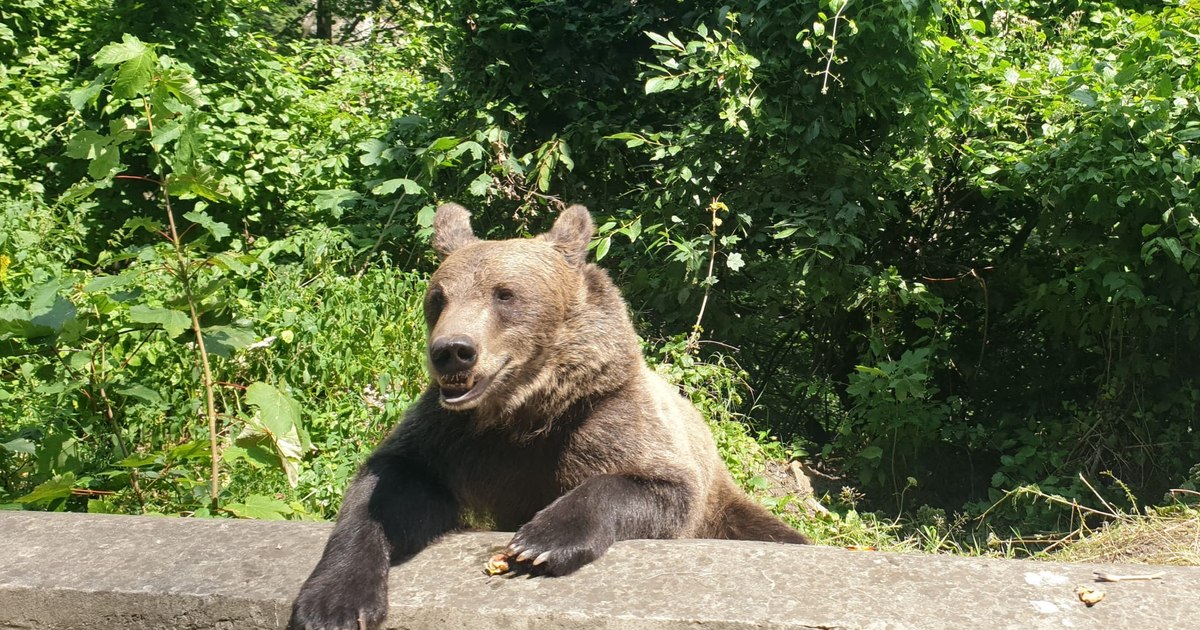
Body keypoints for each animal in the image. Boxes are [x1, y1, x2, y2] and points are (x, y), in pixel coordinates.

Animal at [288, 203, 810, 630]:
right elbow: (388, 483)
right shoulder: (453, 438)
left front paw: (540, 541)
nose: (452, 351)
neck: (523, 411)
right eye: (439, 296)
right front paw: (333, 604)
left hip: (725, 506)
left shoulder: (603, 419)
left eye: (505, 294)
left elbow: (653, 484)